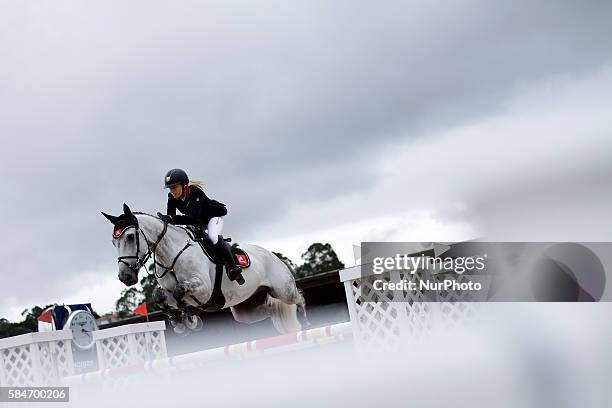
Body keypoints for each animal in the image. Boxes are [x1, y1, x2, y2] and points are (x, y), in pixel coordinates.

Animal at [103, 204, 310, 334]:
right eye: (113, 242)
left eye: (130, 236)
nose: (125, 277)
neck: (171, 254)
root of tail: (272, 255)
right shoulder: (170, 292)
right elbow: (159, 295)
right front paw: (179, 322)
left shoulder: (204, 289)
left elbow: (180, 290)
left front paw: (190, 321)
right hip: (246, 311)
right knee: (270, 310)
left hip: (283, 290)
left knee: (299, 298)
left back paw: (306, 322)